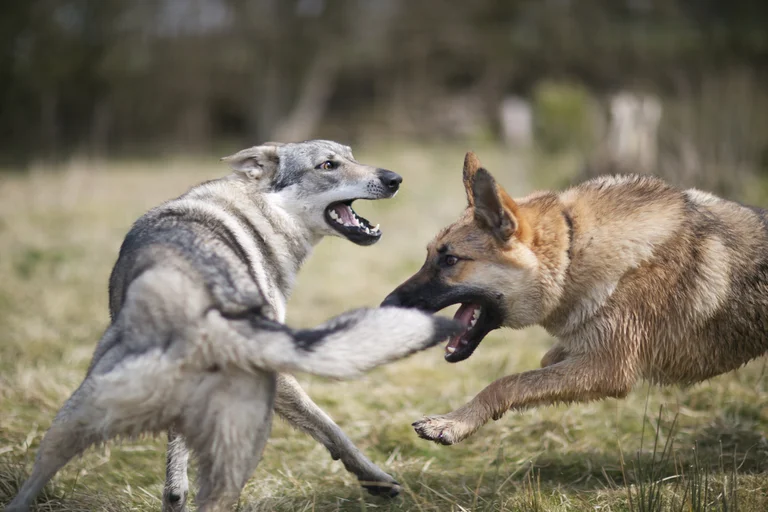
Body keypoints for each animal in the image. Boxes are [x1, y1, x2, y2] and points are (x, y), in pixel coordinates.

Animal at [9, 140, 460, 512]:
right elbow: (333, 430)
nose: (394, 179)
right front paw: (377, 481)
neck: (260, 210)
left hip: (65, 427)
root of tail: (184, 309)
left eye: (351, 155)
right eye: (328, 165)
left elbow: (175, 469)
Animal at [382, 153, 768, 448]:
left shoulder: (608, 367)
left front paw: (453, 423)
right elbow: (541, 366)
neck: (574, 249)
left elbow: (507, 382)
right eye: (429, 256)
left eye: (450, 260)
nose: (386, 305)